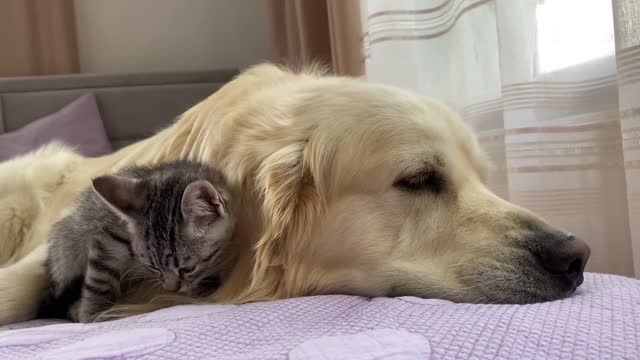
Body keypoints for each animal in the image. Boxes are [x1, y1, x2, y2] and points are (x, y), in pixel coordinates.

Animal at [40, 161, 235, 324]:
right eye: (153, 267)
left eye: (187, 268)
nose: (171, 289)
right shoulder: (107, 238)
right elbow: (98, 280)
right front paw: (93, 312)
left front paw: (204, 284)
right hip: (66, 253)